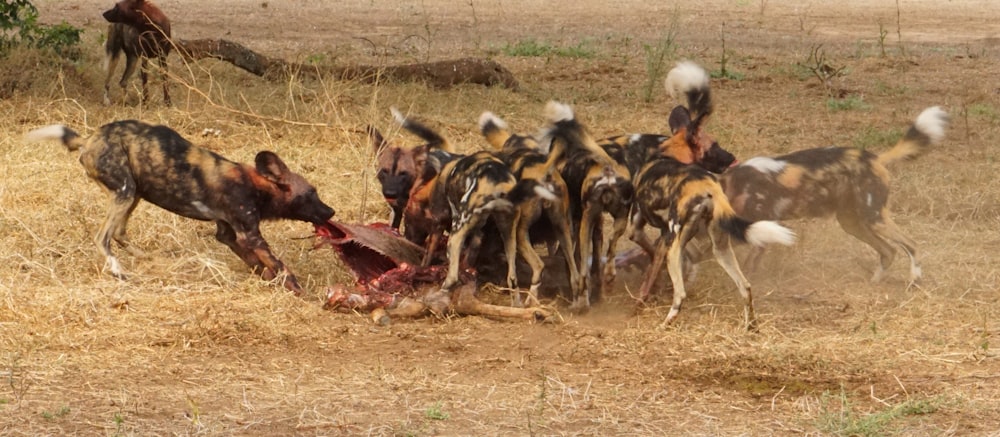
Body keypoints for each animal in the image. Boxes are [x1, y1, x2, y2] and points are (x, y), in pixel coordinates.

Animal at [23, 119, 334, 292]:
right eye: (311, 194)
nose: (331, 211)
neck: (255, 185)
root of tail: (89, 138)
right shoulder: (250, 234)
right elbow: (280, 264)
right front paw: (297, 289)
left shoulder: (229, 234)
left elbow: (259, 263)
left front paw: (270, 281)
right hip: (125, 191)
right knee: (103, 237)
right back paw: (118, 270)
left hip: (134, 193)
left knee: (119, 233)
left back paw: (149, 259)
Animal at [478, 110, 584, 304]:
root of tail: (544, 171)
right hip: (563, 229)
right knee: (574, 275)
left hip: (520, 233)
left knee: (534, 268)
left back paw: (524, 303)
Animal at [632, 60, 796, 328]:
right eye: (716, 146)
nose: (732, 158)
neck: (670, 154)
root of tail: (708, 189)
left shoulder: (647, 229)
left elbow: (647, 277)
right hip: (721, 247)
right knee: (745, 287)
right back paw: (750, 326)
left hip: (675, 245)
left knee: (680, 294)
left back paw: (667, 321)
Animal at [720, 106, 944, 282]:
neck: (731, 185)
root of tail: (876, 159)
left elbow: (747, 266)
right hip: (852, 223)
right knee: (889, 251)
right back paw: (874, 282)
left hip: (874, 218)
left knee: (911, 244)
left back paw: (914, 279)